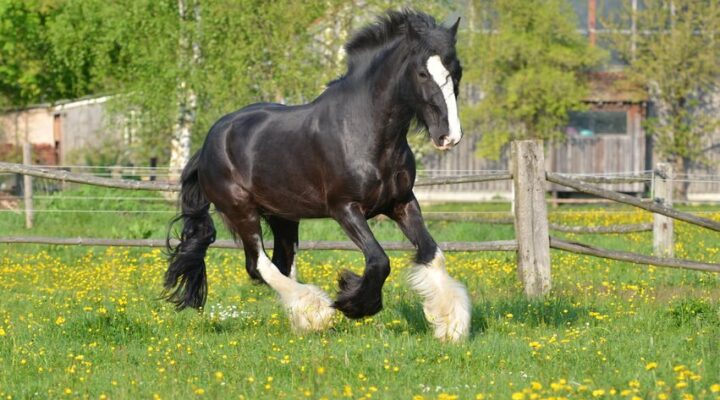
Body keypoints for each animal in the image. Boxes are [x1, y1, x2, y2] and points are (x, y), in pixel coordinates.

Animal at [163, 9, 471, 341]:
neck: (363, 131)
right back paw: (317, 312)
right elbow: (379, 261)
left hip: (283, 217)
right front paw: (353, 302)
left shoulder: (401, 202)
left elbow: (431, 253)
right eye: (423, 73)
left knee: (280, 263)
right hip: (241, 211)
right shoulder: (344, 208)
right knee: (259, 264)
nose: (449, 136)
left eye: (457, 70)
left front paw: (450, 324)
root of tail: (208, 143)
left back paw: (303, 319)